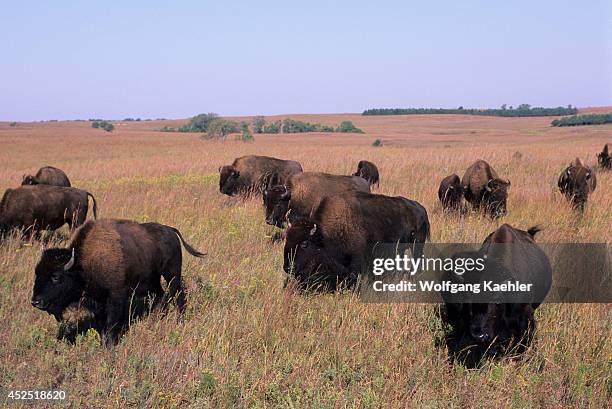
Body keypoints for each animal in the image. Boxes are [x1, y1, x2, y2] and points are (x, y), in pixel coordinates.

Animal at [31, 218, 206, 346]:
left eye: (56, 276)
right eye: (37, 273)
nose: (36, 301)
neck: (83, 265)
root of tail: (170, 230)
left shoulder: (115, 297)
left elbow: (111, 323)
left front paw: (109, 344)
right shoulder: (98, 302)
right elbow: (101, 323)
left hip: (172, 275)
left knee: (178, 295)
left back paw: (179, 320)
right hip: (152, 280)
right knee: (160, 295)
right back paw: (155, 319)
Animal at [284, 190, 430, 290]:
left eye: (304, 243)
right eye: (287, 239)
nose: (288, 267)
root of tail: (422, 209)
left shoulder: (357, 262)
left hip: (417, 246)